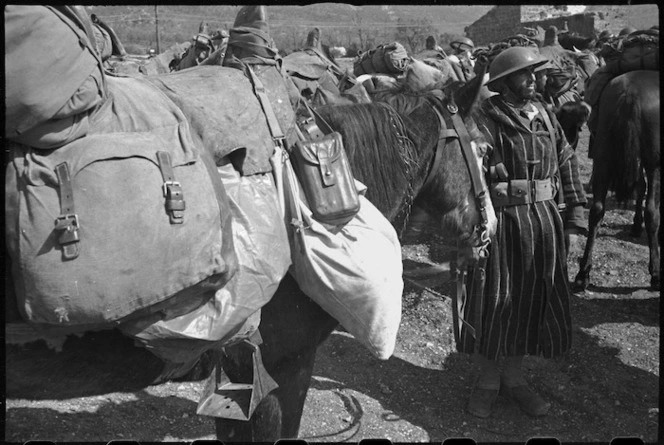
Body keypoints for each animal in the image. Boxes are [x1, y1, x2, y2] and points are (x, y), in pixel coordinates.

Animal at [572, 70, 660, 290]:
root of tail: (630, 93)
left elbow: (639, 187)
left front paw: (635, 225)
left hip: (603, 155)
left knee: (596, 211)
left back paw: (583, 273)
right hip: (653, 163)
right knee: (652, 212)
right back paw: (655, 274)